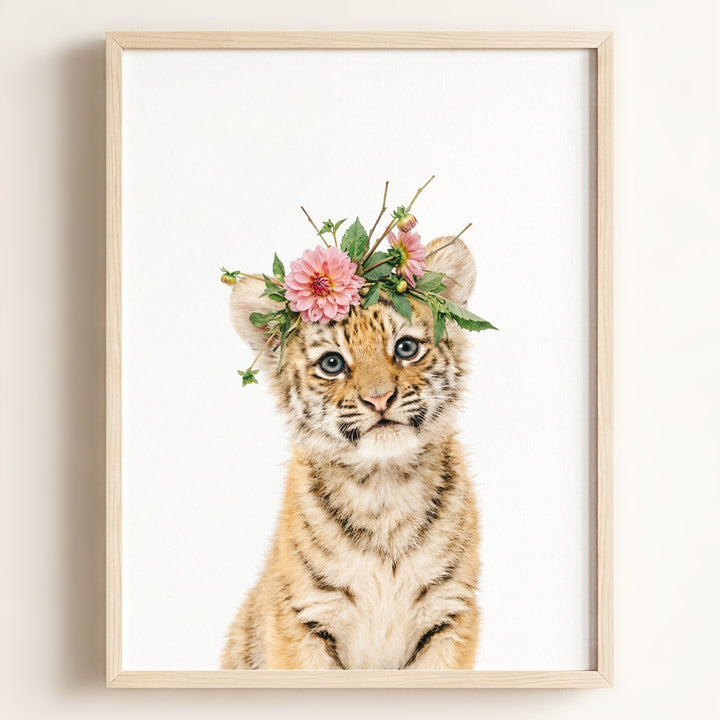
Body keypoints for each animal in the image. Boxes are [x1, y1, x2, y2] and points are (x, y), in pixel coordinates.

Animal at [221, 236, 481, 670]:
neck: (384, 485)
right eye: (332, 363)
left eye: (405, 347)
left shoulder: (449, 613)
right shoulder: (303, 618)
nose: (379, 399)